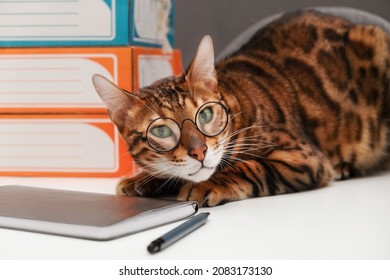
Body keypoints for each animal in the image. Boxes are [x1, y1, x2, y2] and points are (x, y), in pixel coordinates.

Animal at [93, 9, 388, 207]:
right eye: (162, 131)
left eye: (205, 114)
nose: (199, 151)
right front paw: (142, 180)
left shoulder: (302, 157)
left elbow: (250, 167)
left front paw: (210, 182)